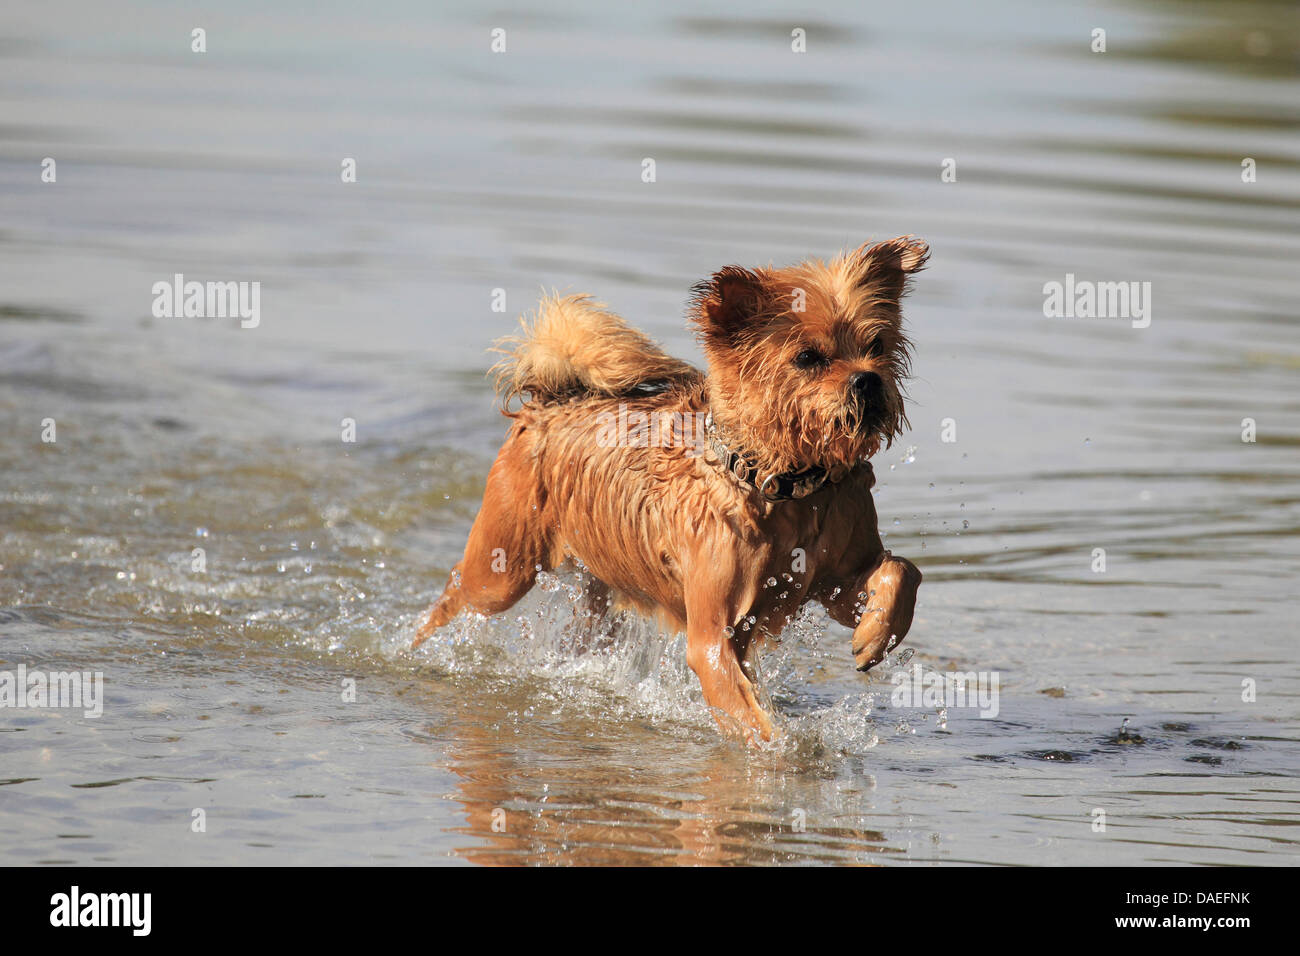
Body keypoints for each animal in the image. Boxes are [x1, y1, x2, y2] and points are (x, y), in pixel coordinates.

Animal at [410, 235, 930, 743]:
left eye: (877, 343)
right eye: (807, 357)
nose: (867, 380)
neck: (789, 489)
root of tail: (552, 399)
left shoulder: (837, 583)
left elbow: (902, 571)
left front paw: (874, 636)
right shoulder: (713, 636)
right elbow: (753, 720)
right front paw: (781, 753)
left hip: (598, 593)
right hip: (502, 572)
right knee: (453, 594)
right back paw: (414, 650)